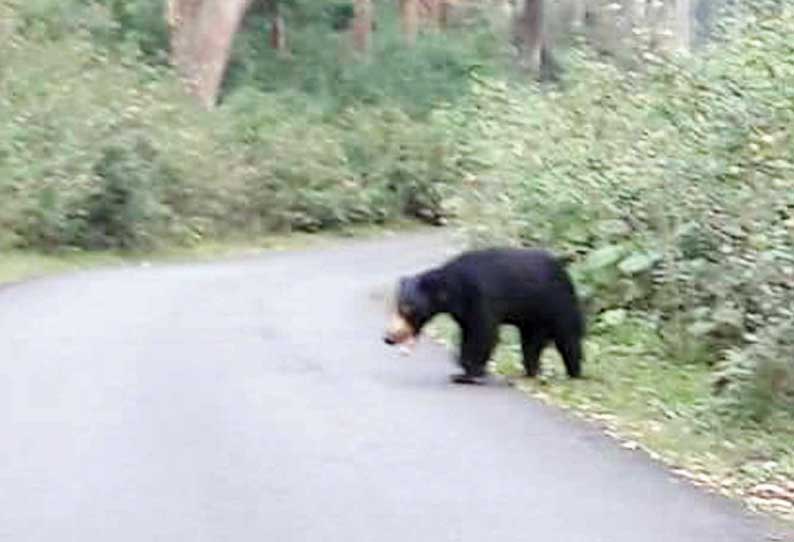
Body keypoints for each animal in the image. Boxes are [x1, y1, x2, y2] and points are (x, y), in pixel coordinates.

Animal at [382, 249, 580, 384]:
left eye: (407, 309)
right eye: (397, 307)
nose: (388, 338)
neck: (454, 290)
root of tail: (564, 269)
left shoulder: (480, 297)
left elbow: (483, 332)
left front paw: (468, 372)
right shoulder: (463, 310)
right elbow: (468, 332)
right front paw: (464, 367)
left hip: (556, 305)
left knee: (568, 340)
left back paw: (573, 374)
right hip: (533, 317)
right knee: (531, 344)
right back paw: (530, 372)